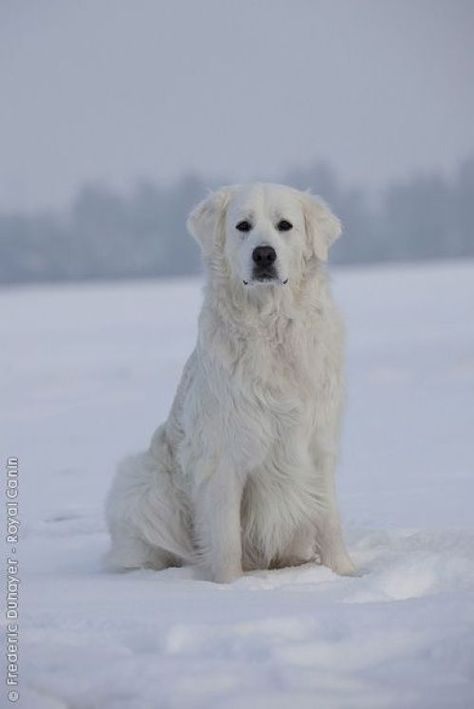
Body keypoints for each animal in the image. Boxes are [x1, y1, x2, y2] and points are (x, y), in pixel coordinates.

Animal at [104, 181, 356, 580]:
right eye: (243, 226)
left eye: (285, 225)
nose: (264, 254)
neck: (270, 327)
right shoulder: (222, 459)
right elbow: (225, 539)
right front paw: (230, 586)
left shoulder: (318, 444)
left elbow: (328, 519)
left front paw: (344, 574)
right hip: (141, 485)